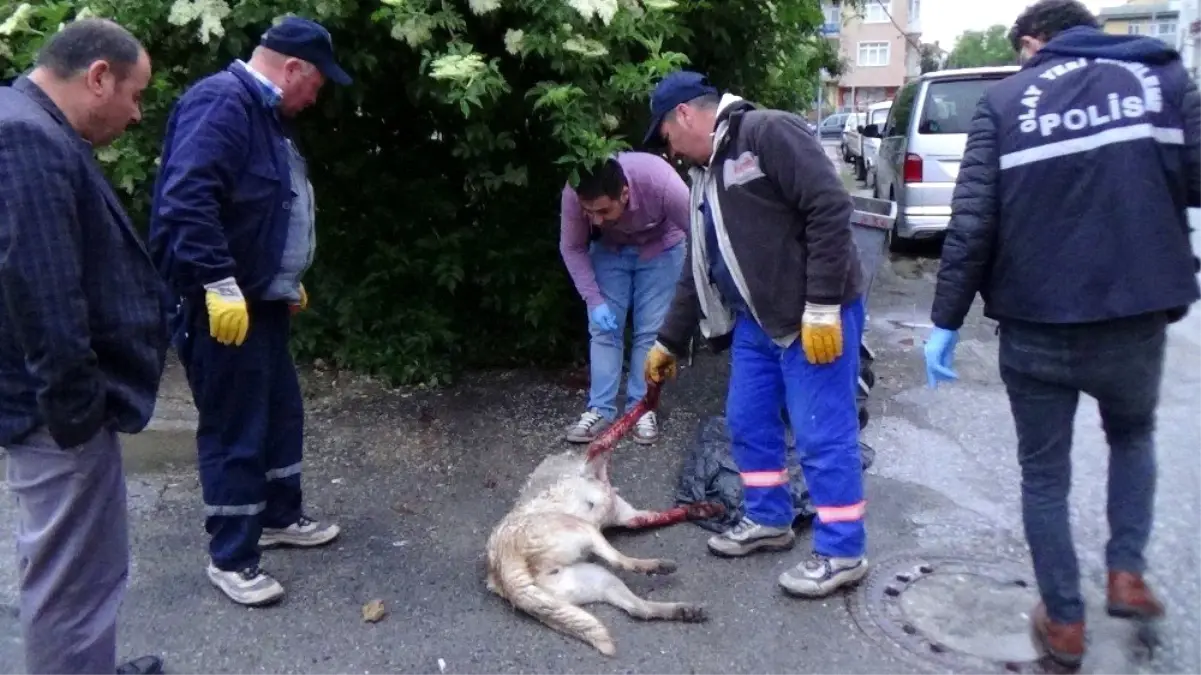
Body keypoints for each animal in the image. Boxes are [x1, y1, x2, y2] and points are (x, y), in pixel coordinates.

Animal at [485, 384, 720, 653]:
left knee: (638, 609)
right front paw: (650, 395)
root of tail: (502, 571)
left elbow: (671, 513)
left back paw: (684, 610)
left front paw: (704, 509)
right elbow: (621, 424)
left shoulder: (632, 517)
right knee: (623, 563)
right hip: (584, 530)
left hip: (596, 578)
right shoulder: (598, 452)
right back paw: (659, 566)